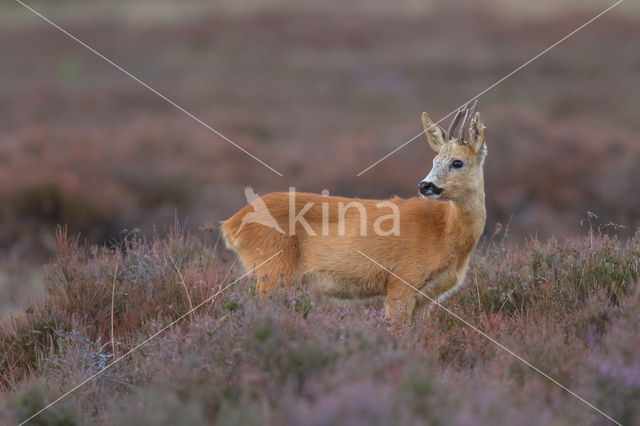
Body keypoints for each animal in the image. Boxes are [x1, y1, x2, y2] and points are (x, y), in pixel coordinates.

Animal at [222, 100, 488, 320]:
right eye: (434, 161)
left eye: (457, 162)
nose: (425, 185)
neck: (445, 232)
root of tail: (231, 224)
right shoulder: (402, 280)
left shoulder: (426, 297)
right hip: (273, 269)